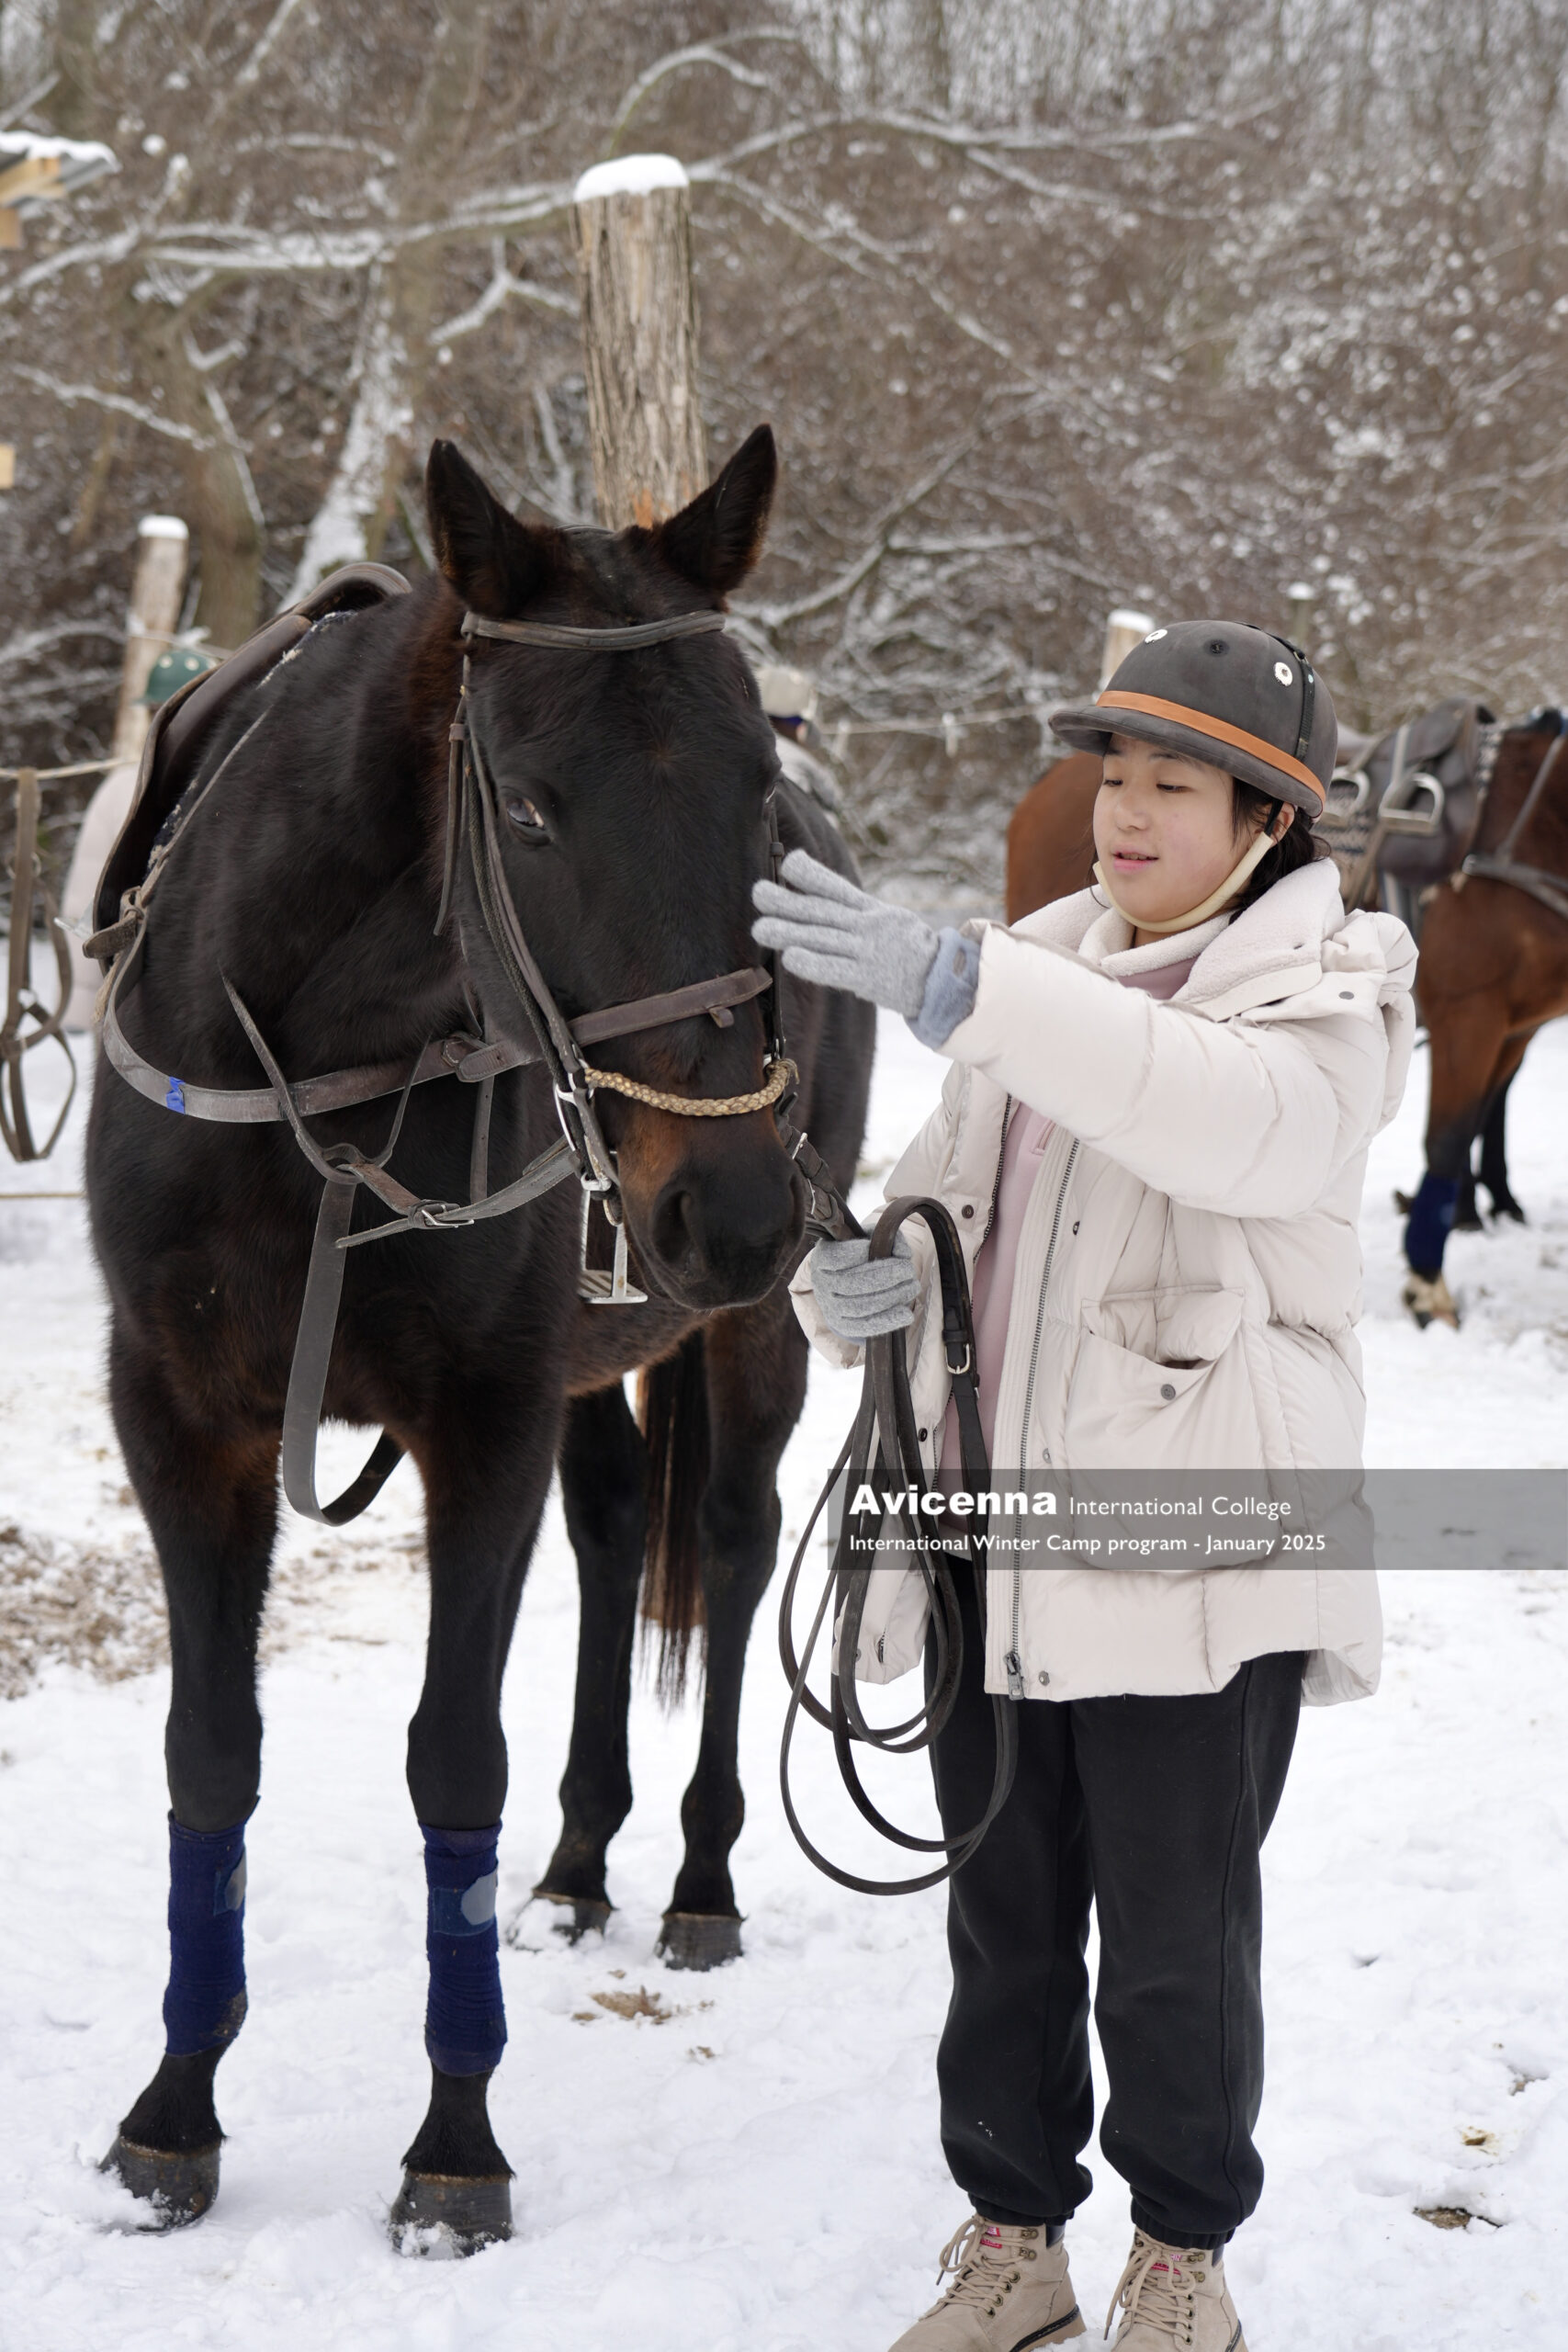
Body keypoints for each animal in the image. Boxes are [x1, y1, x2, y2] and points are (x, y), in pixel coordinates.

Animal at [83, 425, 874, 2248]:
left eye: (755, 793)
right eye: (524, 808)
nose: (731, 1202)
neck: (315, 1066)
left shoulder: (483, 1419)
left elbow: (454, 1759)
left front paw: (454, 2137)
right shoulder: (179, 1411)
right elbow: (208, 1753)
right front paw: (174, 2104)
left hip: (741, 1334)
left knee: (728, 1542)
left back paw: (698, 1876)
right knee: (614, 1528)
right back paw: (580, 1867)